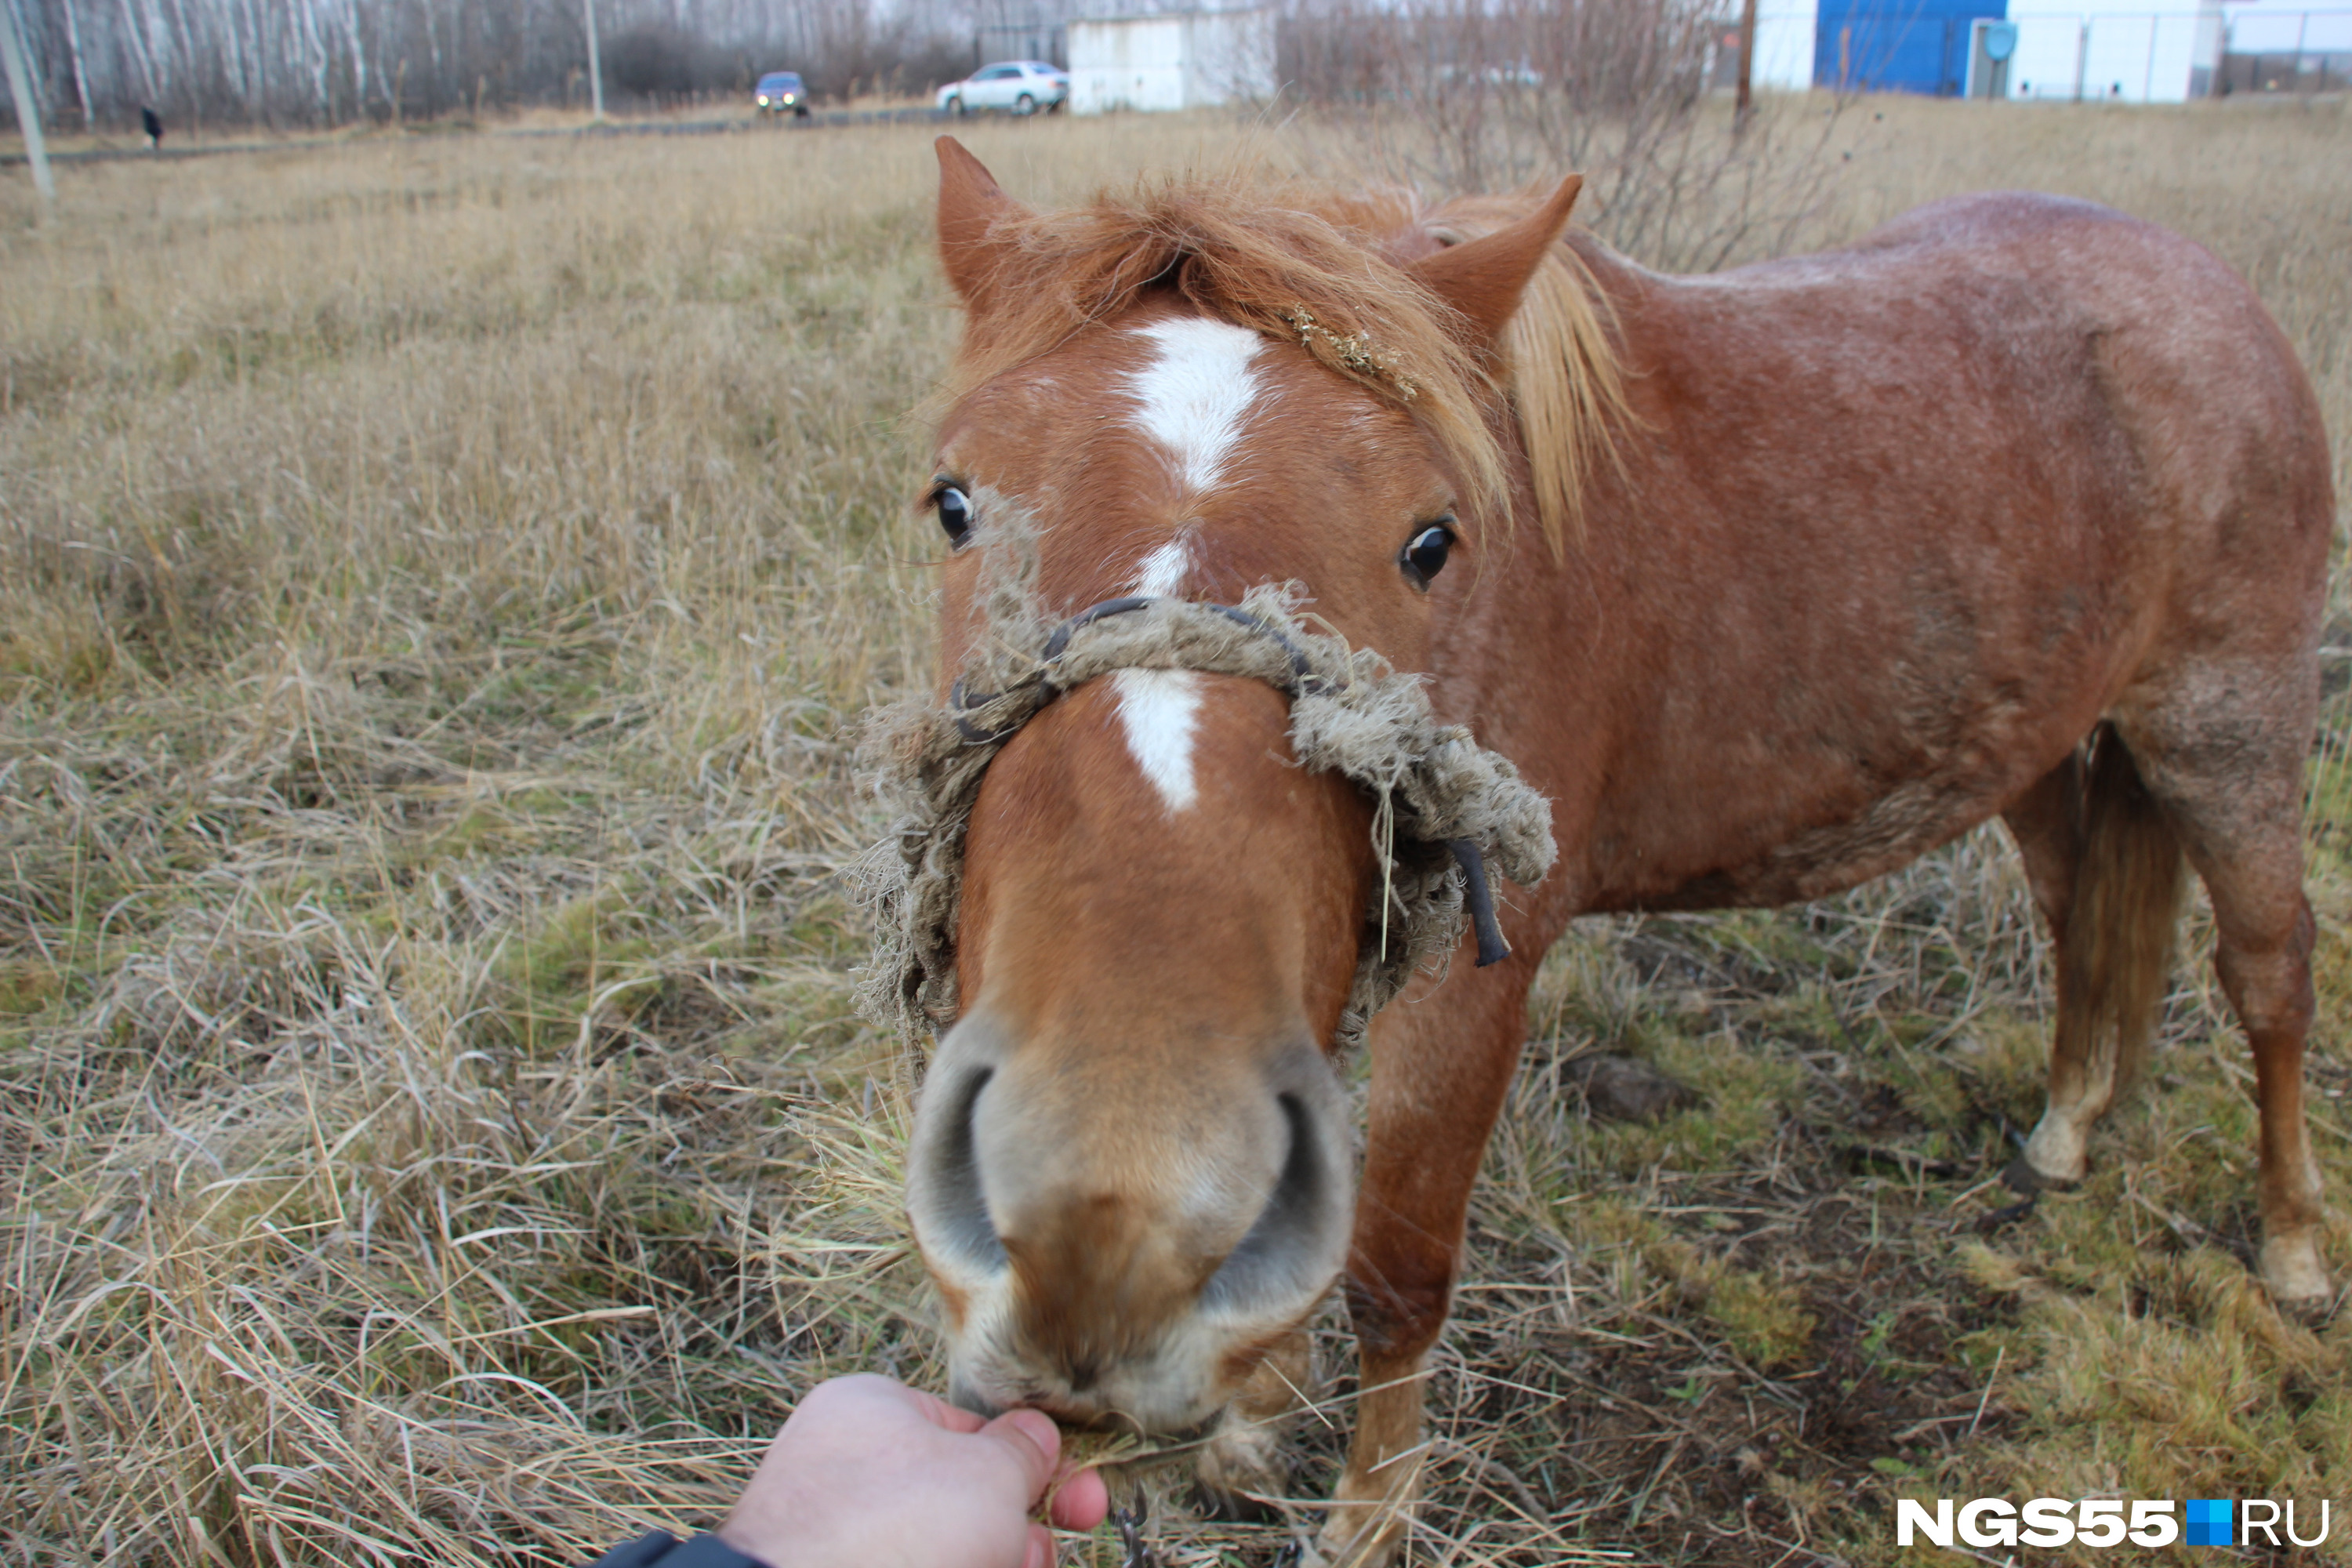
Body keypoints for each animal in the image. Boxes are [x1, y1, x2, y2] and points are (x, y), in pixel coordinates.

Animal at [884, 140, 2333, 1561]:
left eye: (1430, 541)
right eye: (952, 503)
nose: (1101, 1221)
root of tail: (2213, 291)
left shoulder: (1471, 976)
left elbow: (1398, 1267)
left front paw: (1367, 1520)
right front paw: (1255, 1421)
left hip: (2228, 726)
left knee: (2270, 972)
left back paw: (2297, 1250)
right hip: (2037, 746)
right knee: (2083, 919)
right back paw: (2067, 1132)